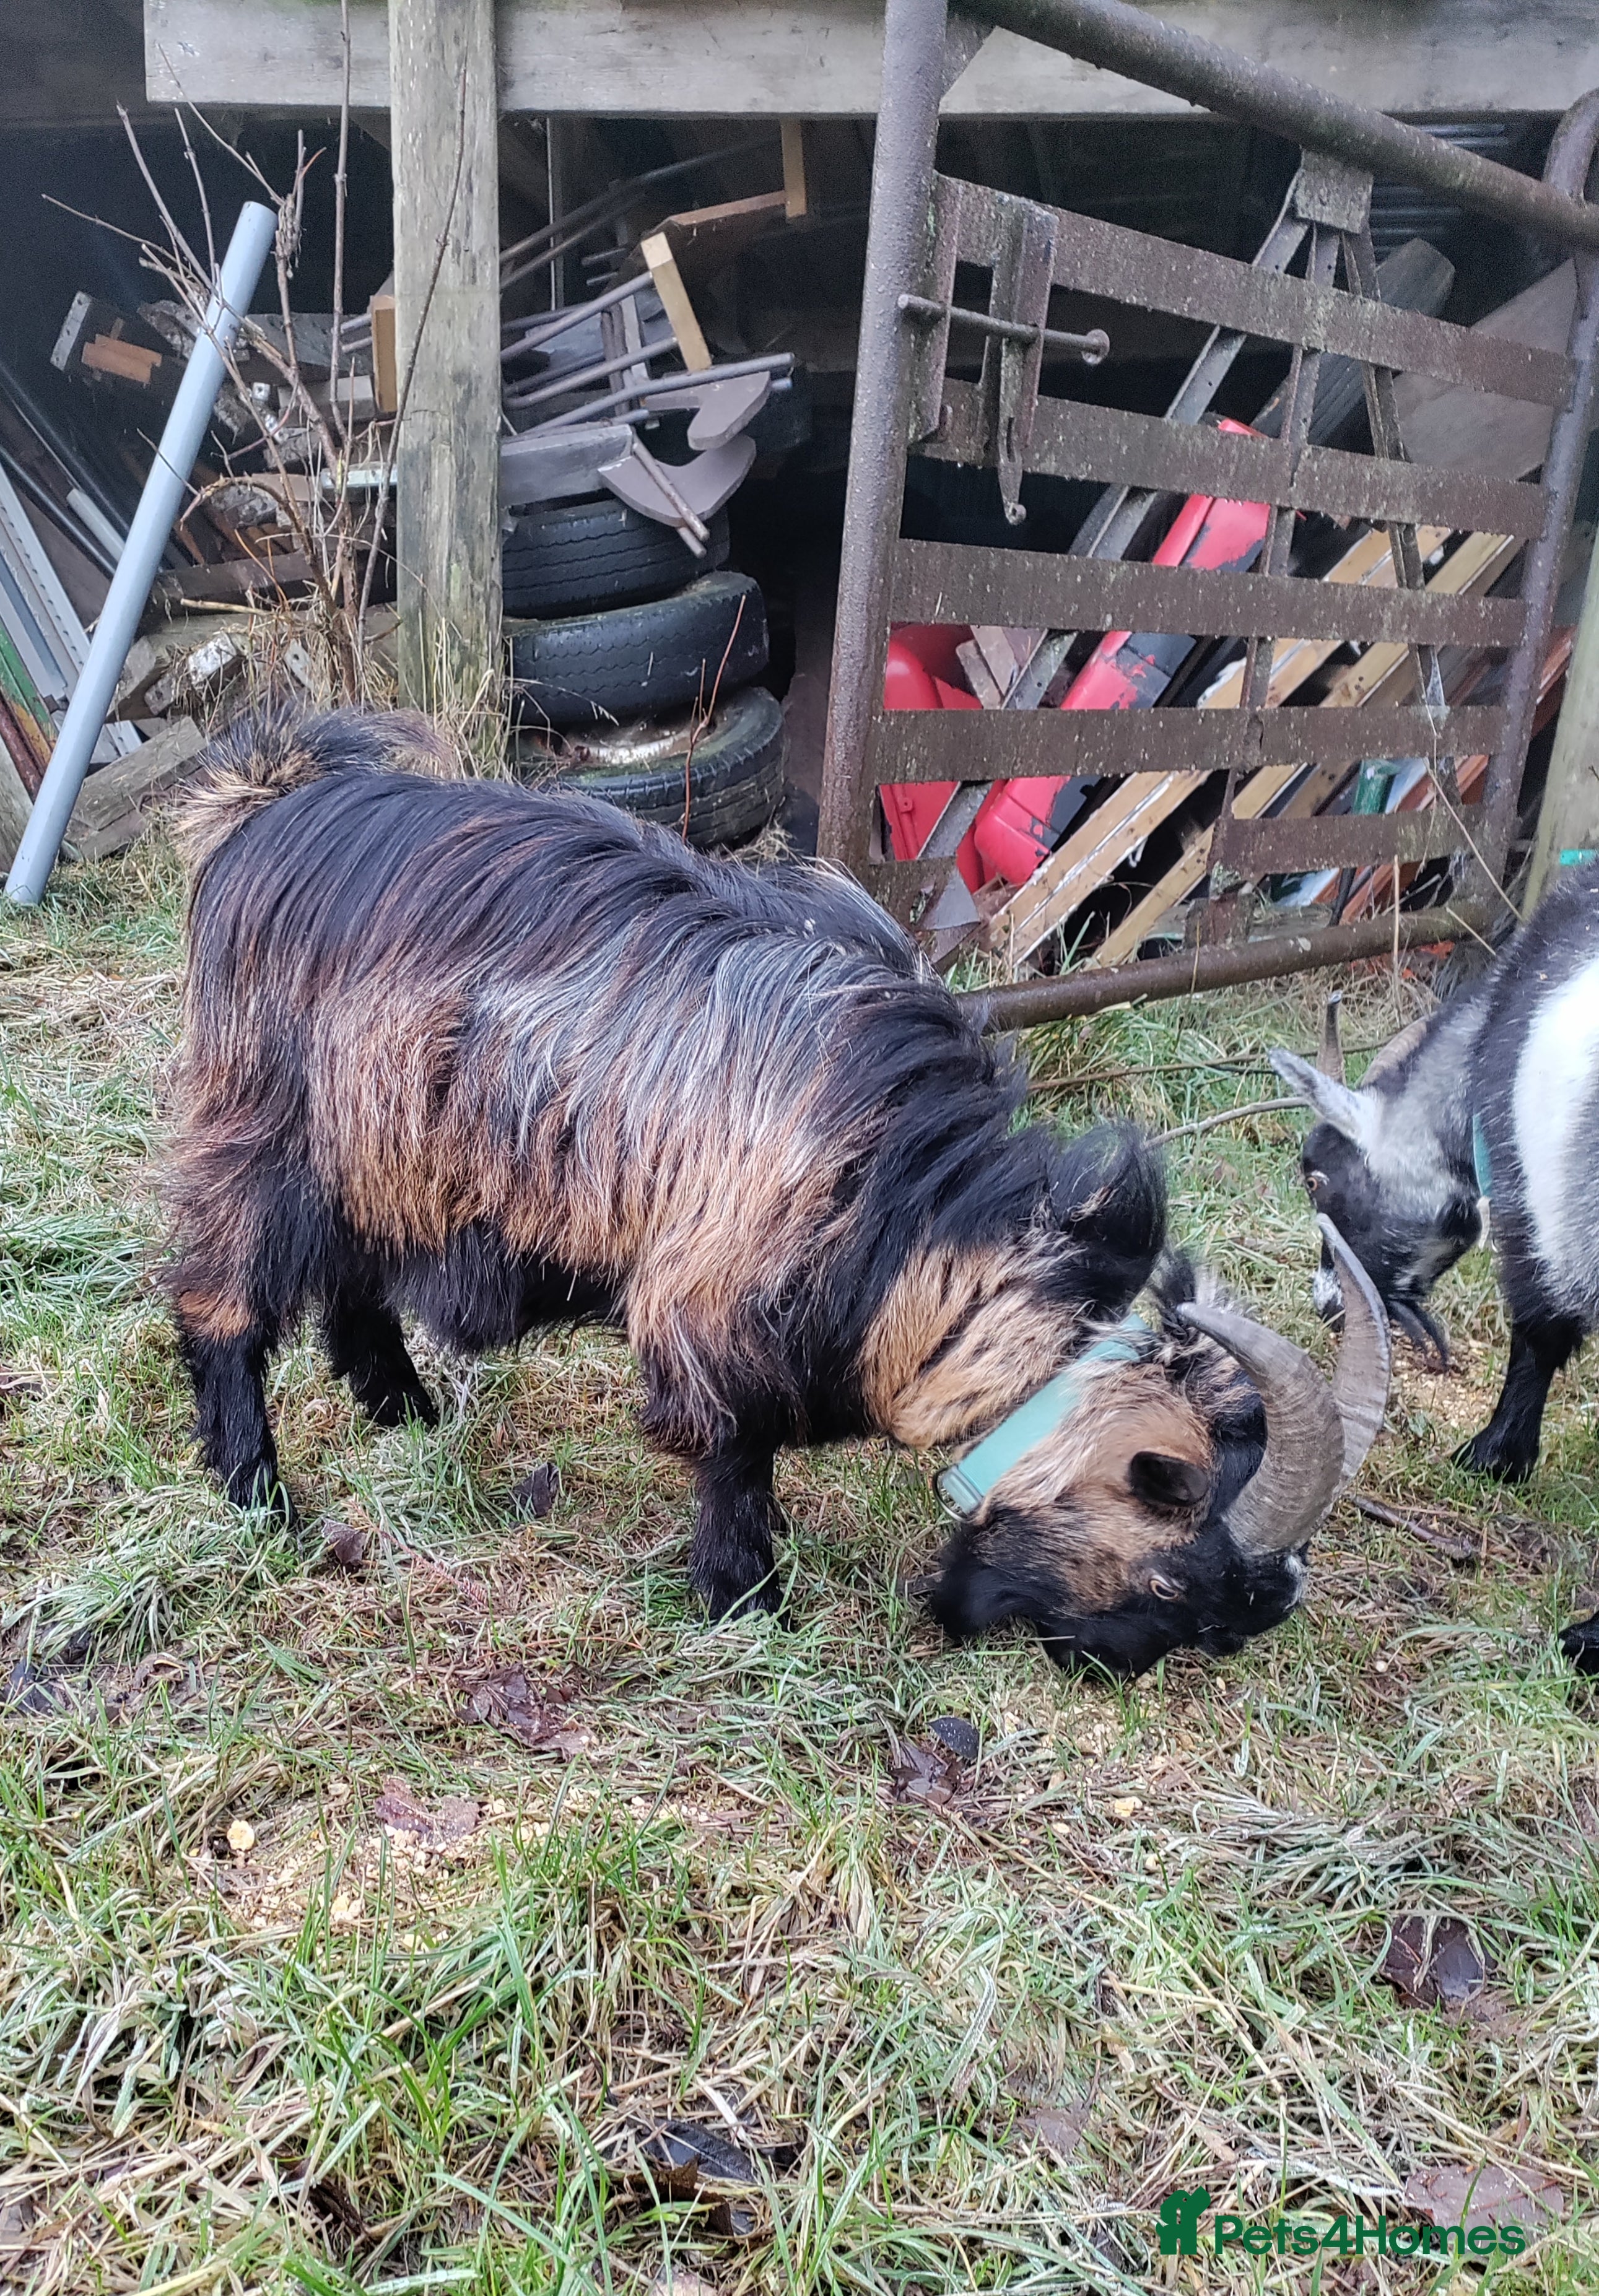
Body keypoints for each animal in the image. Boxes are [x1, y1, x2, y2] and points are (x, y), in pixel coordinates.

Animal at [164, 711, 1390, 1677]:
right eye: (1180, 1583)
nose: (1106, 1672)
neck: (914, 1203)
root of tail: (267, 805)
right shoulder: (716, 1294)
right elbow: (735, 1449)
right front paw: (744, 1596)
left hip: (381, 1156)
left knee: (352, 1278)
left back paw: (401, 1408)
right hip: (262, 1124)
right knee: (218, 1299)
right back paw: (258, 1493)